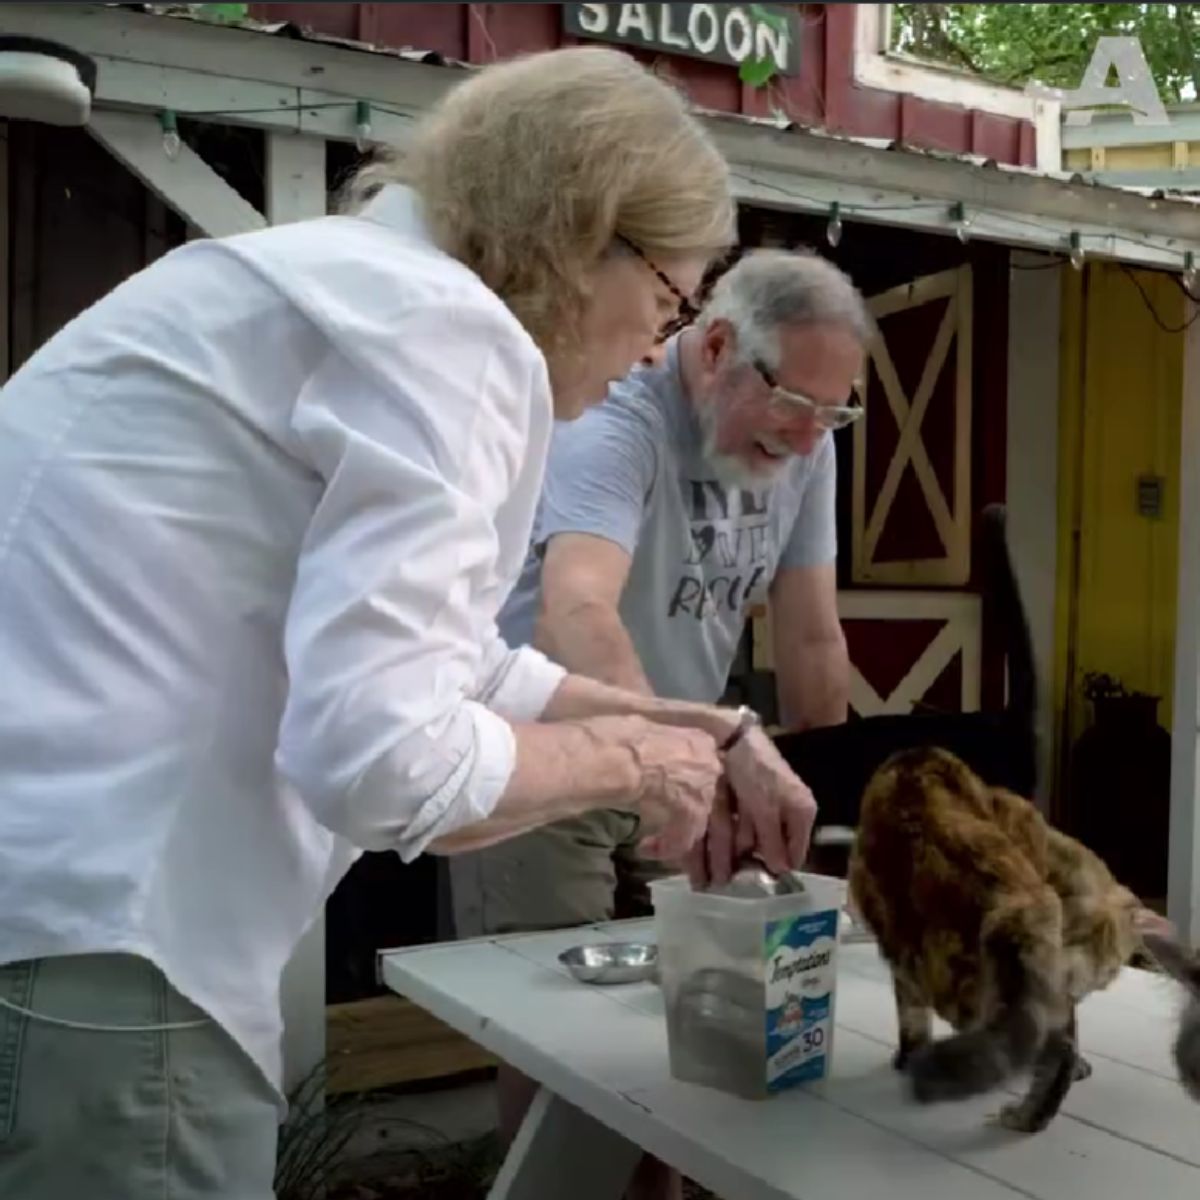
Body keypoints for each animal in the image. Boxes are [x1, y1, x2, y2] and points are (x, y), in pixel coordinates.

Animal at [849, 744, 1137, 1128]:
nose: (1087, 984)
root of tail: (1014, 902)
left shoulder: (902, 964)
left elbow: (911, 1021)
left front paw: (908, 1058)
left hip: (951, 981)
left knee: (1044, 1047)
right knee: (1052, 1045)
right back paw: (1029, 1116)